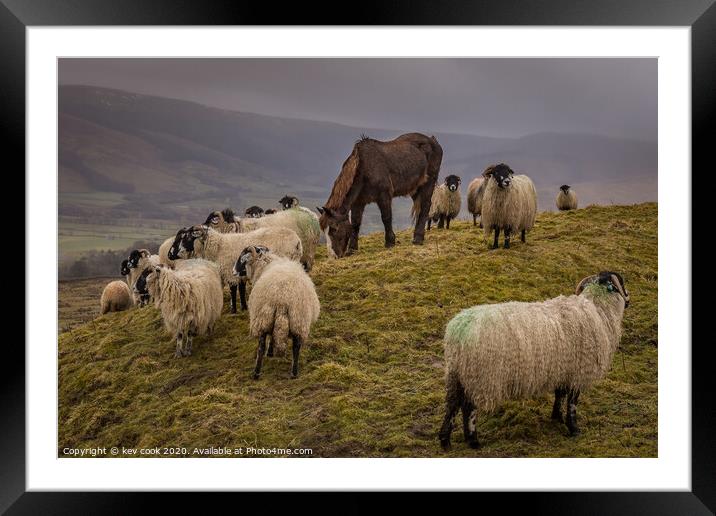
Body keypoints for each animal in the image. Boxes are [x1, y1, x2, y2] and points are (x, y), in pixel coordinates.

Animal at [168, 223, 302, 312]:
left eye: (185, 237)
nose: (169, 255)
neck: (218, 247)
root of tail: (297, 242)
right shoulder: (239, 274)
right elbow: (241, 289)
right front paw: (243, 307)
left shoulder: (229, 272)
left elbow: (233, 290)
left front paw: (234, 310)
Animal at [234, 246, 320, 378]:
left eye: (242, 258)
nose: (233, 271)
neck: (264, 264)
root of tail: (283, 297)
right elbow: (274, 336)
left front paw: (269, 352)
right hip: (298, 320)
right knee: (296, 347)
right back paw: (294, 373)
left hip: (262, 318)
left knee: (261, 346)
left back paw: (256, 372)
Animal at [436, 270, 632, 448]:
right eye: (621, 283)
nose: (629, 300)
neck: (598, 309)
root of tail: (457, 329)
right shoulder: (578, 372)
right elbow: (572, 403)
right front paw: (574, 428)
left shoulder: (563, 368)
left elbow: (559, 394)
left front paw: (556, 417)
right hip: (480, 376)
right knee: (469, 407)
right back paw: (473, 440)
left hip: (457, 373)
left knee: (453, 404)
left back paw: (445, 440)